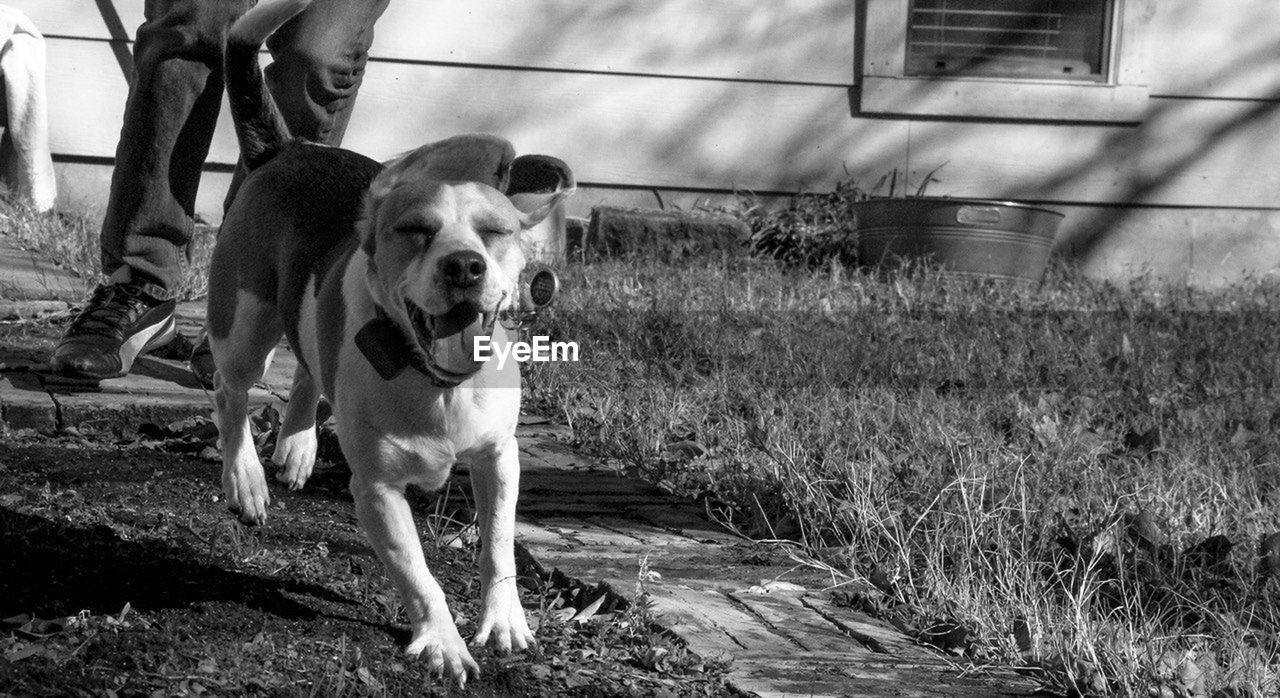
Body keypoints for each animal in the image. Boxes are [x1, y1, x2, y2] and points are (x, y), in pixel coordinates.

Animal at [207, 0, 573, 681]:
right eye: (415, 230)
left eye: (495, 231)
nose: (464, 267)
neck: (436, 381)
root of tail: (289, 148)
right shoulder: (376, 489)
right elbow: (418, 573)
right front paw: (444, 643)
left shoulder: (500, 458)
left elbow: (499, 548)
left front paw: (505, 623)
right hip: (243, 324)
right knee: (231, 394)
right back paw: (246, 479)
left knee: (308, 365)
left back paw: (297, 447)